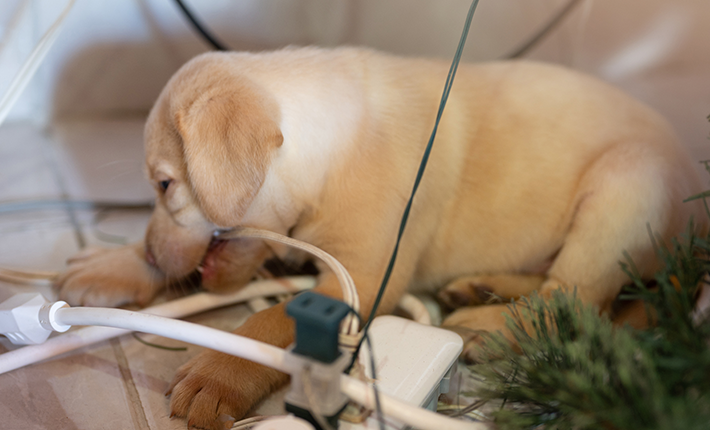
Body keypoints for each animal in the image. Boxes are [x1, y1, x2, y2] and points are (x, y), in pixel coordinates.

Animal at [54, 47, 708, 430]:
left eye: (166, 184)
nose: (149, 253)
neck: (328, 154)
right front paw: (114, 266)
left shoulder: (363, 277)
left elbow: (269, 322)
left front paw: (217, 372)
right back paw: (482, 289)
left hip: (626, 185)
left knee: (575, 299)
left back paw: (487, 327)